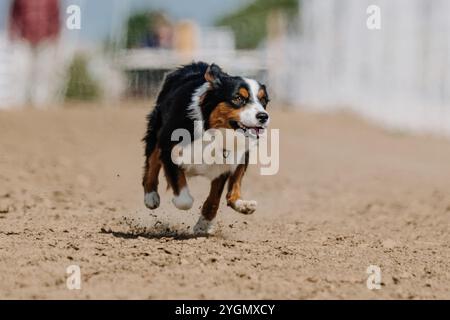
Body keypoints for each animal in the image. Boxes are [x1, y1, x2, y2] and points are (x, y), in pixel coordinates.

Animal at [142, 62, 268, 235]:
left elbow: (215, 197)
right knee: (152, 161)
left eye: (263, 101)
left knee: (234, 188)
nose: (263, 116)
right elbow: (184, 199)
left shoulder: (224, 162)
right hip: (156, 129)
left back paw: (243, 204)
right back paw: (151, 197)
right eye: (238, 98)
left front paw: (204, 225)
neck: (213, 132)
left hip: (244, 155)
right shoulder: (169, 147)